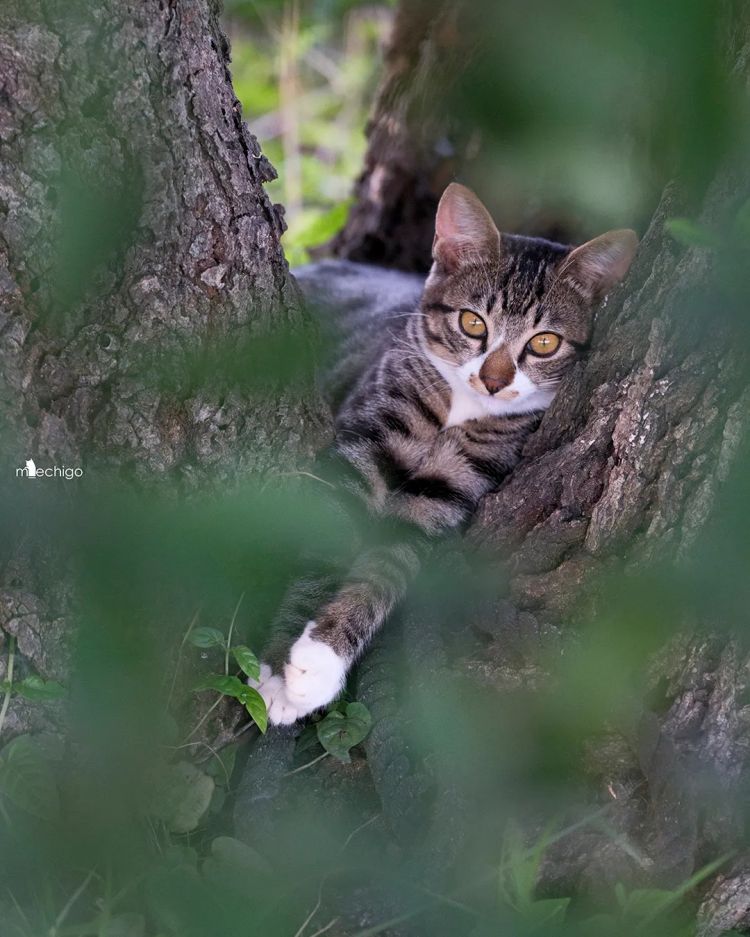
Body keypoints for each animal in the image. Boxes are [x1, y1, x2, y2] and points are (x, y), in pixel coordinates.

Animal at [253, 183, 640, 724]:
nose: (493, 381)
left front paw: (318, 664)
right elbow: (324, 533)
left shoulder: (450, 487)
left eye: (544, 342)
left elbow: (386, 567)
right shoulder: (369, 437)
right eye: (473, 322)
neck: (460, 408)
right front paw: (275, 671)